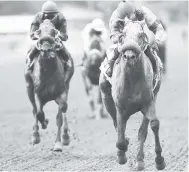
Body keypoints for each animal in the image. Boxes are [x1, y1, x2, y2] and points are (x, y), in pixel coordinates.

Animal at [23, 18, 74, 150]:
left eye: (53, 31)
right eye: (39, 31)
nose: (45, 49)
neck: (48, 72)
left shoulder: (61, 92)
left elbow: (61, 113)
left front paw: (58, 143)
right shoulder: (38, 93)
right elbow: (39, 113)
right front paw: (43, 124)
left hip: (66, 86)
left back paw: (65, 136)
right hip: (28, 87)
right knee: (34, 109)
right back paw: (35, 135)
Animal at [99, 20, 165, 171]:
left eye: (141, 35)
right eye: (122, 35)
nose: (129, 56)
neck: (132, 79)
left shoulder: (149, 103)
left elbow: (152, 126)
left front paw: (158, 160)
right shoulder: (120, 107)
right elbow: (120, 133)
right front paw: (121, 154)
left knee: (142, 131)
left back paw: (139, 160)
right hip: (105, 94)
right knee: (116, 122)